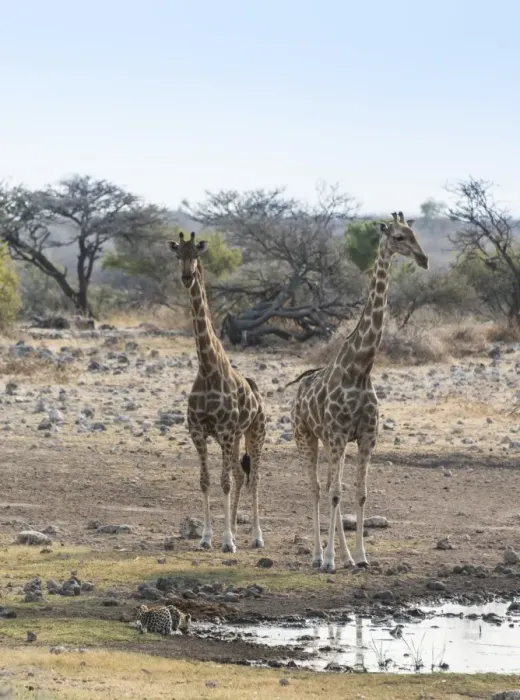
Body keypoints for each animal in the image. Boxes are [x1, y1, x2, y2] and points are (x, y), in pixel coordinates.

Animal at [169, 231, 266, 553]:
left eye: (196, 254)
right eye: (178, 255)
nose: (187, 277)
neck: (208, 369)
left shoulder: (223, 431)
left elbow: (223, 481)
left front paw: (227, 542)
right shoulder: (199, 431)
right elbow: (207, 480)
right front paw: (207, 537)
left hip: (255, 432)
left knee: (253, 477)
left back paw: (256, 536)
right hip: (235, 437)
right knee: (238, 473)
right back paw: (234, 528)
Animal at [288, 212, 428, 573]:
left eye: (414, 233)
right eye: (397, 237)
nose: (423, 259)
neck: (360, 368)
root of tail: (298, 391)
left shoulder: (366, 436)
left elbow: (359, 492)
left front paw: (361, 556)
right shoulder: (339, 435)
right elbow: (335, 492)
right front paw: (328, 560)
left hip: (328, 441)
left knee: (329, 485)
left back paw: (346, 557)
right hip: (306, 436)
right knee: (316, 488)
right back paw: (316, 555)